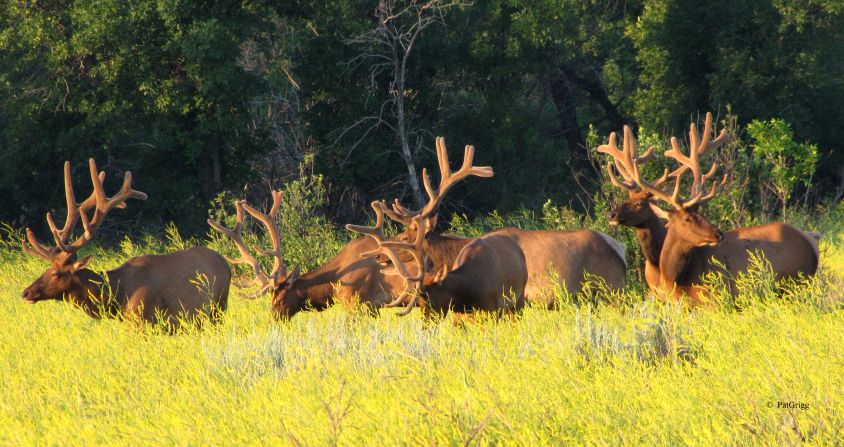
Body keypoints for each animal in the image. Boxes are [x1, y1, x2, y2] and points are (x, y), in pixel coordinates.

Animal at [22, 159, 231, 324]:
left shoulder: (142, 321)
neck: (117, 297)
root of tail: (225, 263)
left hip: (218, 308)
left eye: (56, 274)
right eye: (45, 270)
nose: (26, 292)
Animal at [596, 114, 820, 306]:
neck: (675, 278)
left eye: (701, 214)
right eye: (687, 219)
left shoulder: (716, 300)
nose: (718, 234)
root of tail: (811, 241)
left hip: (795, 282)